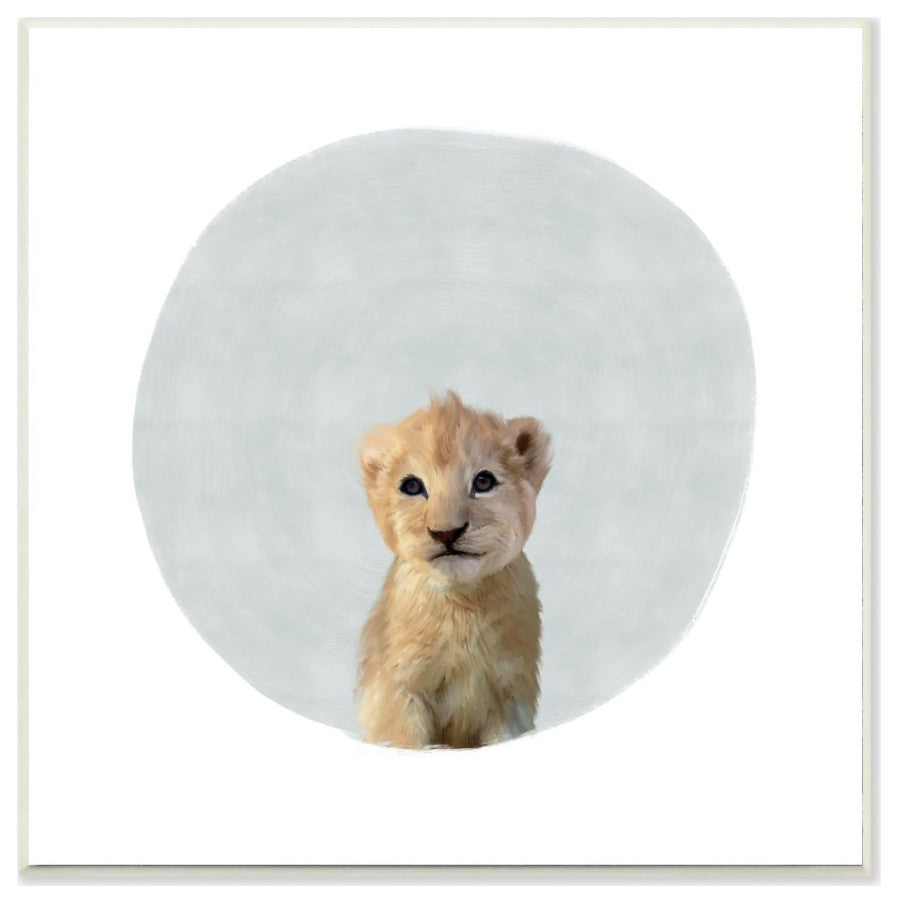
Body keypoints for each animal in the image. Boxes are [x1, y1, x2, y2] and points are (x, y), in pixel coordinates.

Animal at [356, 391, 551, 749]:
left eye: (483, 481)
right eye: (411, 486)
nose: (446, 532)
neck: (461, 604)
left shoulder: (509, 696)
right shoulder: (398, 693)